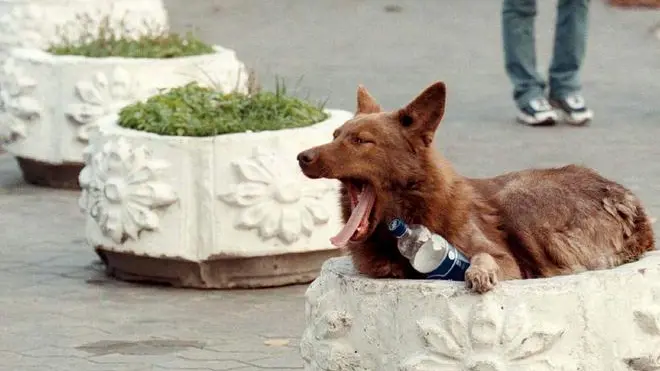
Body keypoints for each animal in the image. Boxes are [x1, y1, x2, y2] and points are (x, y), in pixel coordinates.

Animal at [298, 82, 656, 294]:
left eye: (361, 141)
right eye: (335, 135)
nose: (302, 157)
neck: (415, 211)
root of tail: (633, 209)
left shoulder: (507, 260)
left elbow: (485, 256)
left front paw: (479, 272)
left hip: (516, 196)